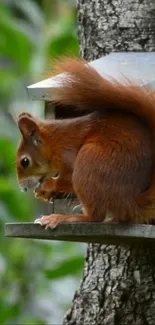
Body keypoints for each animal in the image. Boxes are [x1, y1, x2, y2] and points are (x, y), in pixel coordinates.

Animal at [16, 57, 155, 228]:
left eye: (25, 161)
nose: (23, 188)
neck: (55, 142)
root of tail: (130, 202)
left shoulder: (67, 153)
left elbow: (67, 179)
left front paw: (48, 186)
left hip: (89, 163)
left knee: (95, 217)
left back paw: (63, 217)